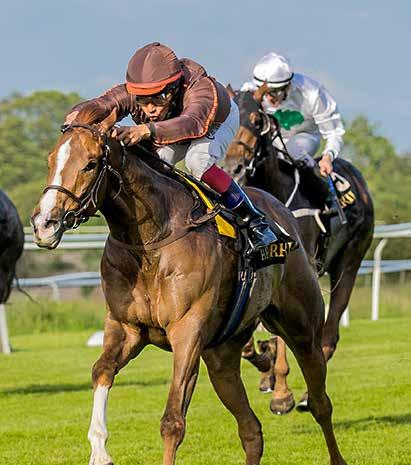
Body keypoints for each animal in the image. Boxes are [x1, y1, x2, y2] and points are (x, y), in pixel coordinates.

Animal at [30, 117, 350, 464]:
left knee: (320, 402)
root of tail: (282, 213)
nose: (44, 224)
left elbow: (172, 422)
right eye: (50, 161)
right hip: (221, 358)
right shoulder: (127, 328)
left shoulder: (187, 332)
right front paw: (99, 450)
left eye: (90, 164)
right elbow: (101, 370)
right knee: (251, 429)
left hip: (302, 329)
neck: (152, 239)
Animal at [224, 85, 374, 412]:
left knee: (329, 333)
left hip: (349, 261)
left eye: (256, 119)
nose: (234, 167)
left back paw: (309, 394)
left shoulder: (292, 268)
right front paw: (263, 363)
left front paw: (282, 392)